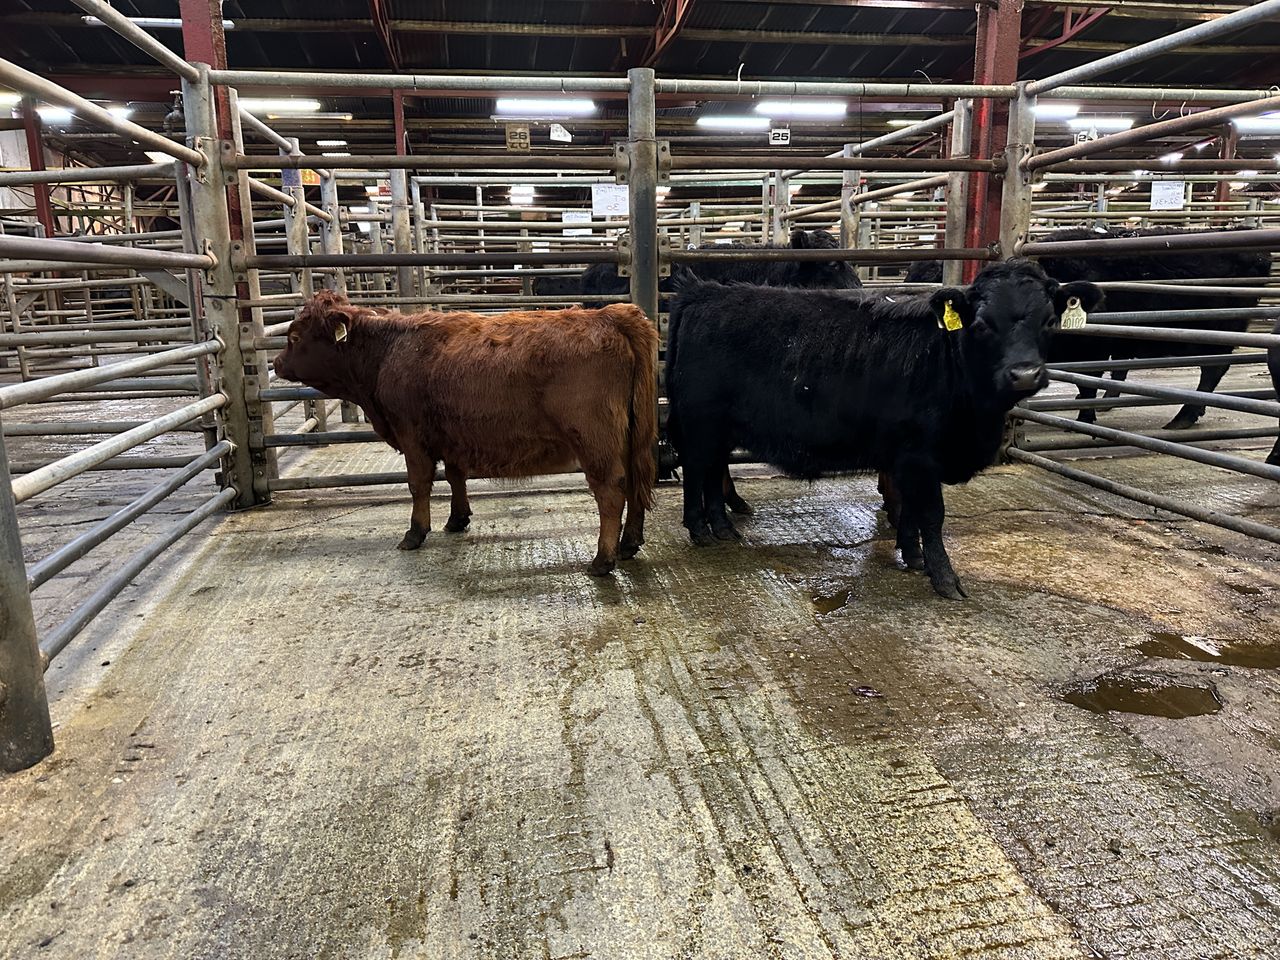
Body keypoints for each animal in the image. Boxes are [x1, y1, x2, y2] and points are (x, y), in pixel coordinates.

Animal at [272, 291, 658, 576]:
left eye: (294, 337)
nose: (276, 363)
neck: (389, 350)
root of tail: (610, 314)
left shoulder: (411, 435)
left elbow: (419, 484)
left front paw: (415, 532)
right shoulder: (451, 435)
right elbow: (455, 475)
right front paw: (457, 519)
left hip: (594, 440)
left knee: (611, 490)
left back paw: (602, 560)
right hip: (631, 439)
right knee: (635, 482)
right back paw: (628, 544)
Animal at [666, 259, 1103, 599]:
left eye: (1050, 321)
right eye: (981, 324)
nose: (1024, 374)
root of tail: (704, 292)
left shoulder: (904, 459)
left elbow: (908, 510)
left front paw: (912, 555)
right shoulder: (920, 456)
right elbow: (931, 514)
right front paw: (944, 577)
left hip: (718, 427)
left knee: (713, 470)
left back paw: (722, 528)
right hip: (700, 421)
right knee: (697, 468)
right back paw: (700, 529)